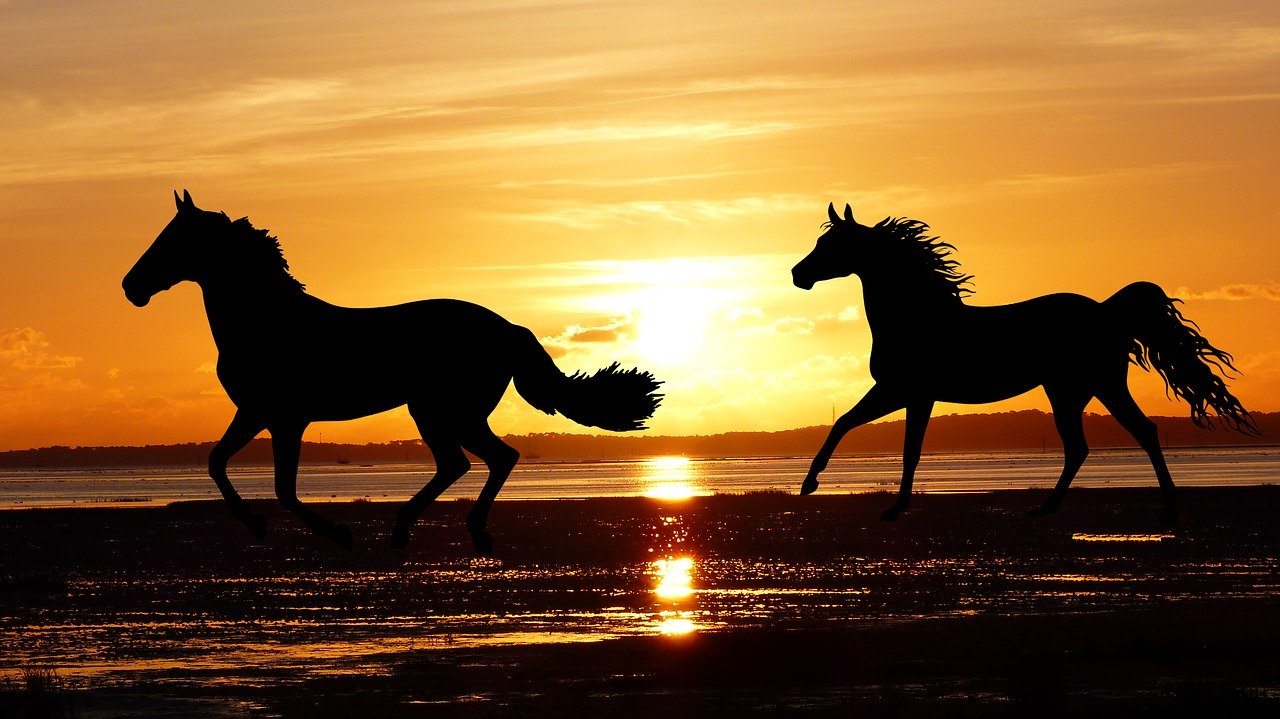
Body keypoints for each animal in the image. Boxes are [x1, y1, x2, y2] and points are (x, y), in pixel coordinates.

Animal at [120, 189, 665, 547]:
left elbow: (283, 489)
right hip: (448, 412)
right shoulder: (256, 413)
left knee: (479, 460)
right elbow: (217, 462)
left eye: (172, 239)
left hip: (443, 411)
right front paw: (257, 525)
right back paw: (435, 529)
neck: (268, 321)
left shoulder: (284, 419)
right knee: (479, 460)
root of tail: (507, 327)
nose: (130, 286)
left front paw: (336, 532)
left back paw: (429, 529)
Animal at [793, 202, 1254, 519]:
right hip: (1076, 392)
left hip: (1094, 386)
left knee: (1132, 434)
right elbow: (845, 423)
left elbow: (906, 449)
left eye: (830, 244)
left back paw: (1166, 508)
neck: (917, 317)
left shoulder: (911, 394)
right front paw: (810, 484)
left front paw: (886, 506)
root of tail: (1107, 311)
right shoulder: (897, 392)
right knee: (1090, 444)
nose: (799, 275)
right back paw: (1050, 508)